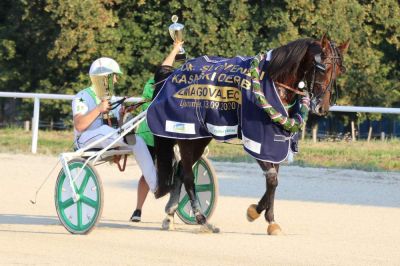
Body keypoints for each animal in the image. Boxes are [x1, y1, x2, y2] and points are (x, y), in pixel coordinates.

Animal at [148, 34, 348, 234]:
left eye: (339, 70)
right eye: (323, 68)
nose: (322, 107)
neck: (273, 82)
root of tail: (172, 75)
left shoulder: (276, 142)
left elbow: (273, 180)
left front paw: (270, 219)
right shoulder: (257, 140)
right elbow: (272, 179)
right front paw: (255, 212)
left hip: (199, 139)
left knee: (181, 171)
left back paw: (170, 215)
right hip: (186, 134)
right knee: (188, 176)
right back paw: (202, 219)